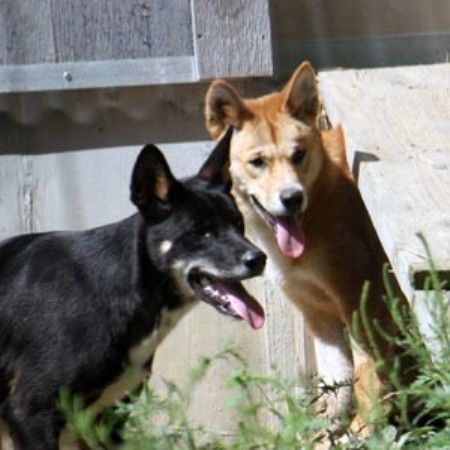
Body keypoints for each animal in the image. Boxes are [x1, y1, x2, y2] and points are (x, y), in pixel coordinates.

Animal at [206, 61, 410, 430]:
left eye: (298, 154)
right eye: (257, 162)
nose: (292, 198)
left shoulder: (365, 304)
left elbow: (368, 382)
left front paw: (367, 430)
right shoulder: (317, 312)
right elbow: (337, 383)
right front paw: (331, 431)